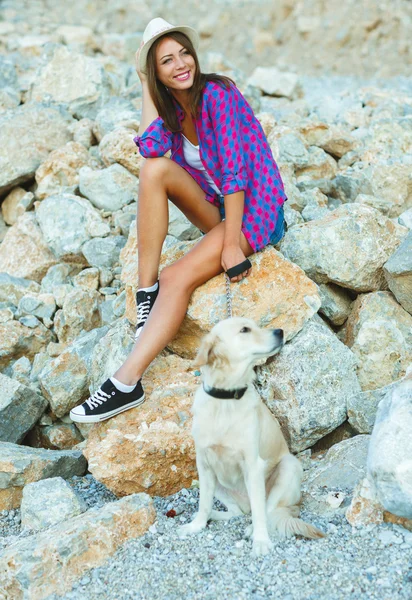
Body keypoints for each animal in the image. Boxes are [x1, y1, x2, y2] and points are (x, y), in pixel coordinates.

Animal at [178, 316, 326, 556]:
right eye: (245, 330)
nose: (280, 331)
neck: (226, 400)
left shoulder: (252, 464)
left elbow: (259, 511)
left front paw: (261, 541)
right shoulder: (205, 464)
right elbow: (203, 503)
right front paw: (196, 525)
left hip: (288, 467)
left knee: (265, 510)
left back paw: (251, 530)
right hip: (216, 483)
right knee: (239, 511)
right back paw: (216, 516)